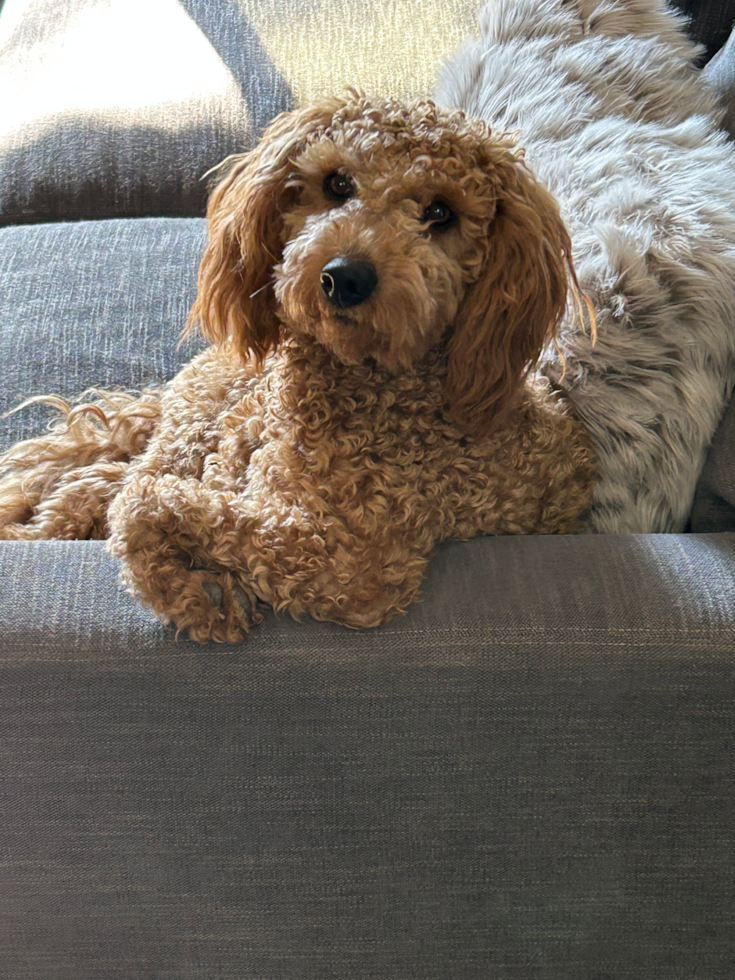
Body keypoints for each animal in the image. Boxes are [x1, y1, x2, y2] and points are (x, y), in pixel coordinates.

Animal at [0, 94, 596, 644]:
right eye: (338, 183)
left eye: (441, 213)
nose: (345, 276)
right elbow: (150, 502)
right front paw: (198, 591)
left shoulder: (348, 567)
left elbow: (147, 508)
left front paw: (199, 595)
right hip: (198, 417)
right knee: (104, 474)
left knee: (111, 480)